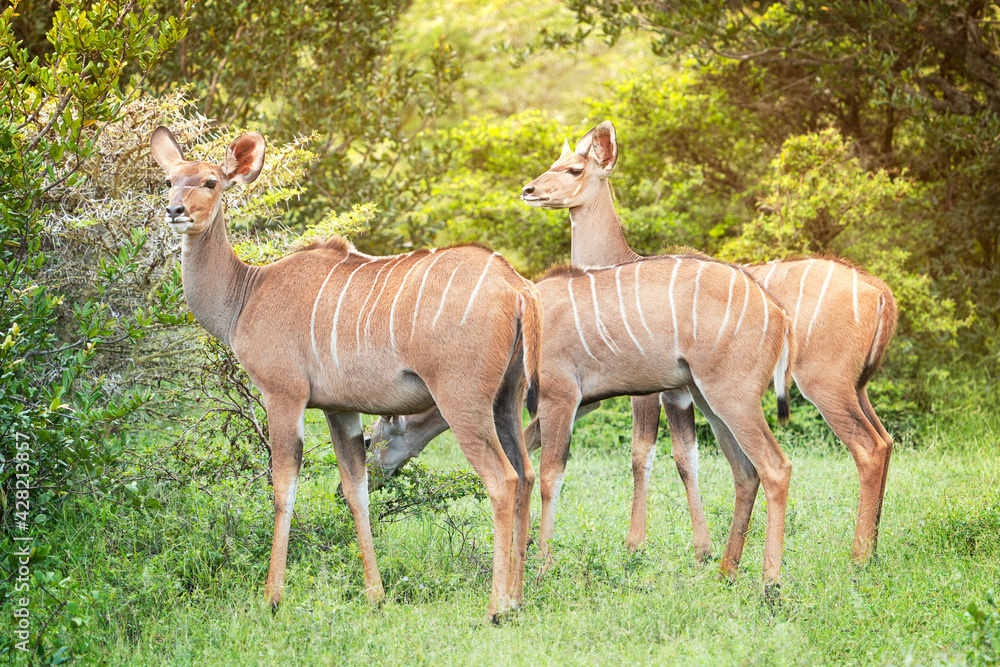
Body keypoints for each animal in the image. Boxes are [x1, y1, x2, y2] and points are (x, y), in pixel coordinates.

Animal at [149, 126, 543, 621]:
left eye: (210, 182)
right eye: (169, 182)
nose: (175, 211)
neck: (246, 293)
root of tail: (517, 287)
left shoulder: (284, 395)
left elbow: (283, 489)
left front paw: (272, 597)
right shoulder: (340, 411)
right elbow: (357, 491)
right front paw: (376, 595)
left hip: (462, 401)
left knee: (502, 480)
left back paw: (496, 608)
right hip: (506, 399)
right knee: (526, 475)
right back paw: (519, 598)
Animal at [522, 121, 898, 564]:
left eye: (575, 169)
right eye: (554, 163)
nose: (529, 189)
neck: (619, 260)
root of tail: (877, 291)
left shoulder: (647, 393)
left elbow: (645, 454)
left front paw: (637, 544)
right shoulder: (660, 393)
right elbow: (686, 457)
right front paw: (703, 549)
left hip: (823, 385)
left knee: (866, 448)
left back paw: (858, 556)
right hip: (856, 388)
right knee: (885, 440)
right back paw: (873, 546)